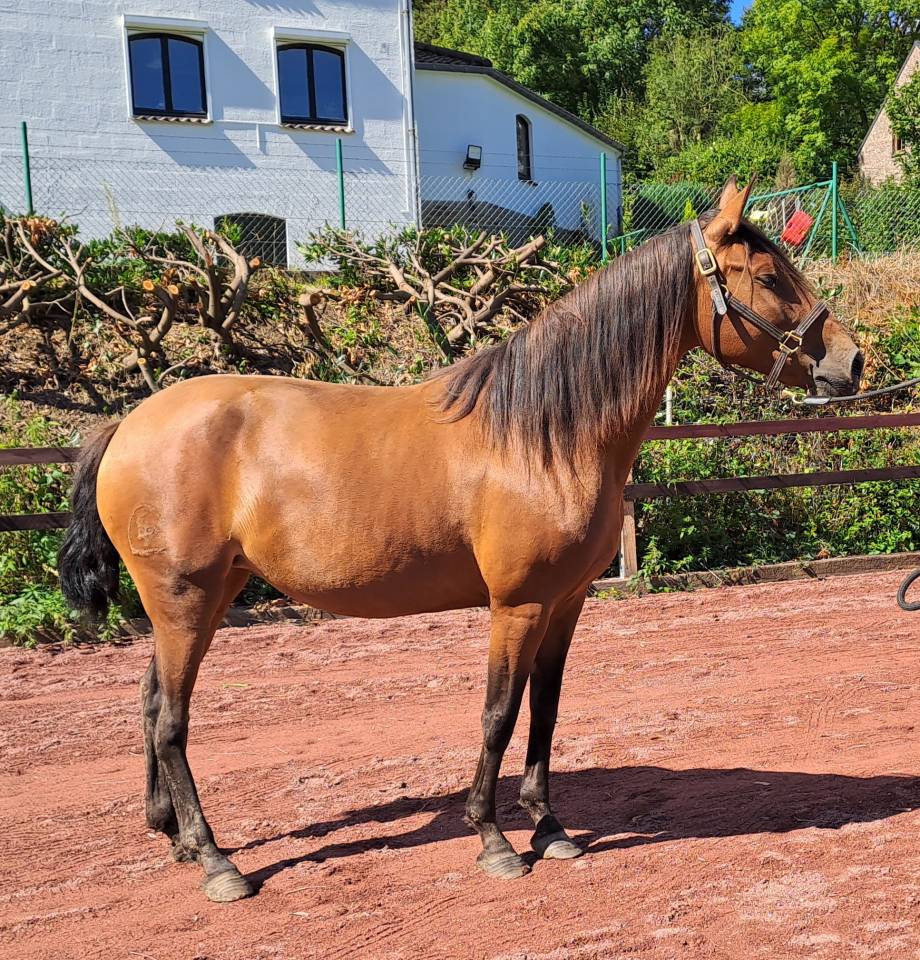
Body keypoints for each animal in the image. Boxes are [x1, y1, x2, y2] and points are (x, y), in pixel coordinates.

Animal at [58, 178, 862, 902]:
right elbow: (499, 713)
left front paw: (551, 828)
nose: (851, 361)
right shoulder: (518, 605)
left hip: (200, 597)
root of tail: (126, 424)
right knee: (171, 721)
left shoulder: (565, 604)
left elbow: (546, 708)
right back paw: (217, 862)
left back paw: (173, 836)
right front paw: (495, 839)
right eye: (768, 277)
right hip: (185, 598)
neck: (544, 434)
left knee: (149, 700)